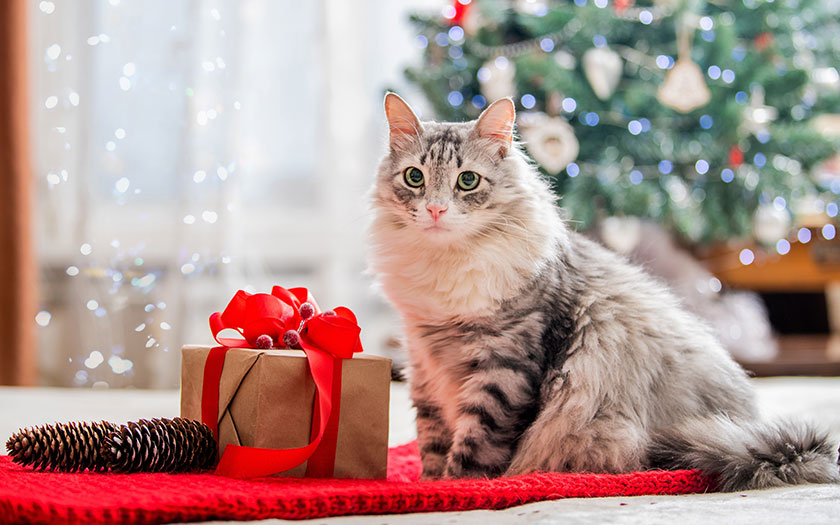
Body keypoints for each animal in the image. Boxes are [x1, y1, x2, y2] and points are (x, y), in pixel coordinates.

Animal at [370, 92, 840, 490]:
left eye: (467, 181)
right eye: (415, 177)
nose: (435, 209)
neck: (443, 269)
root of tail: (747, 424)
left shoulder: (504, 366)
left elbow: (477, 443)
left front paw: (456, 487)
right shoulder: (424, 362)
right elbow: (432, 439)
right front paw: (428, 484)